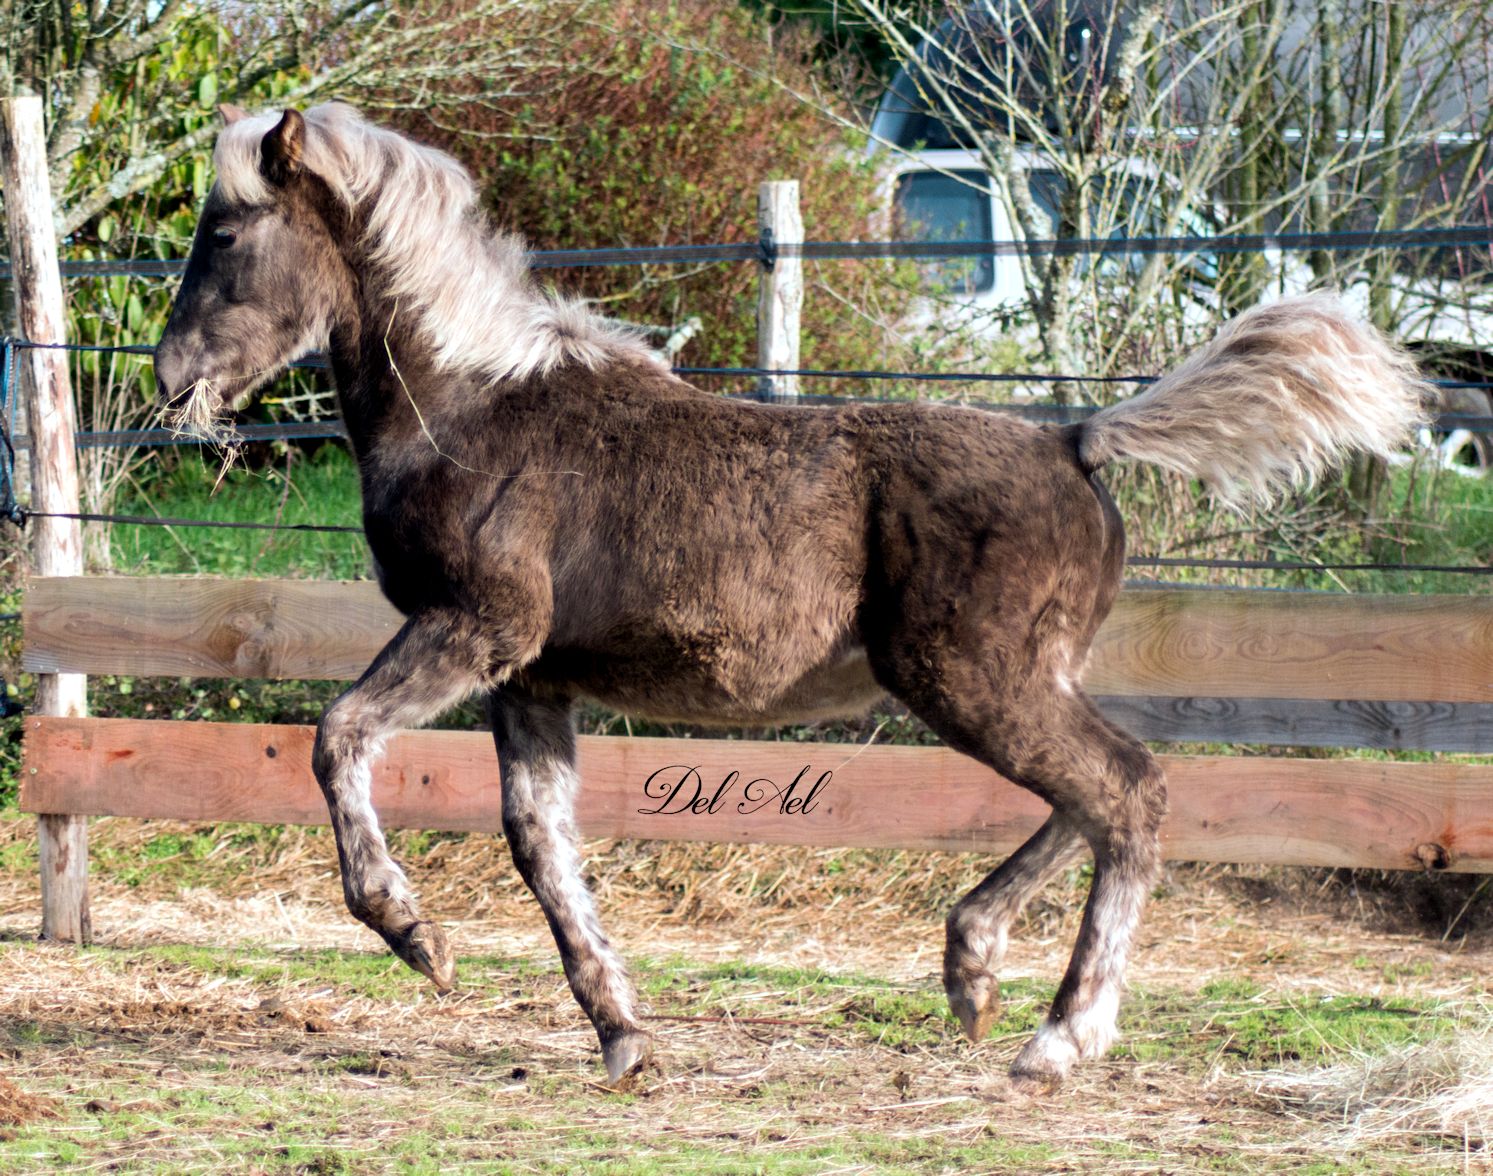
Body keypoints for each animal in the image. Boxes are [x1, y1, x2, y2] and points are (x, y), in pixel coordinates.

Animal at [157, 100, 1427, 1086]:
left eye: (226, 229)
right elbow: (540, 844)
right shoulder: (533, 677)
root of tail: (1076, 440)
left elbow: (338, 733)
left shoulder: (477, 629)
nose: (171, 379)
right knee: (1109, 789)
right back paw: (970, 968)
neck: (474, 406)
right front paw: (621, 1031)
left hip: (969, 677)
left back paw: (1056, 1037)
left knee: (1126, 790)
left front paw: (412, 932)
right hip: (1012, 677)